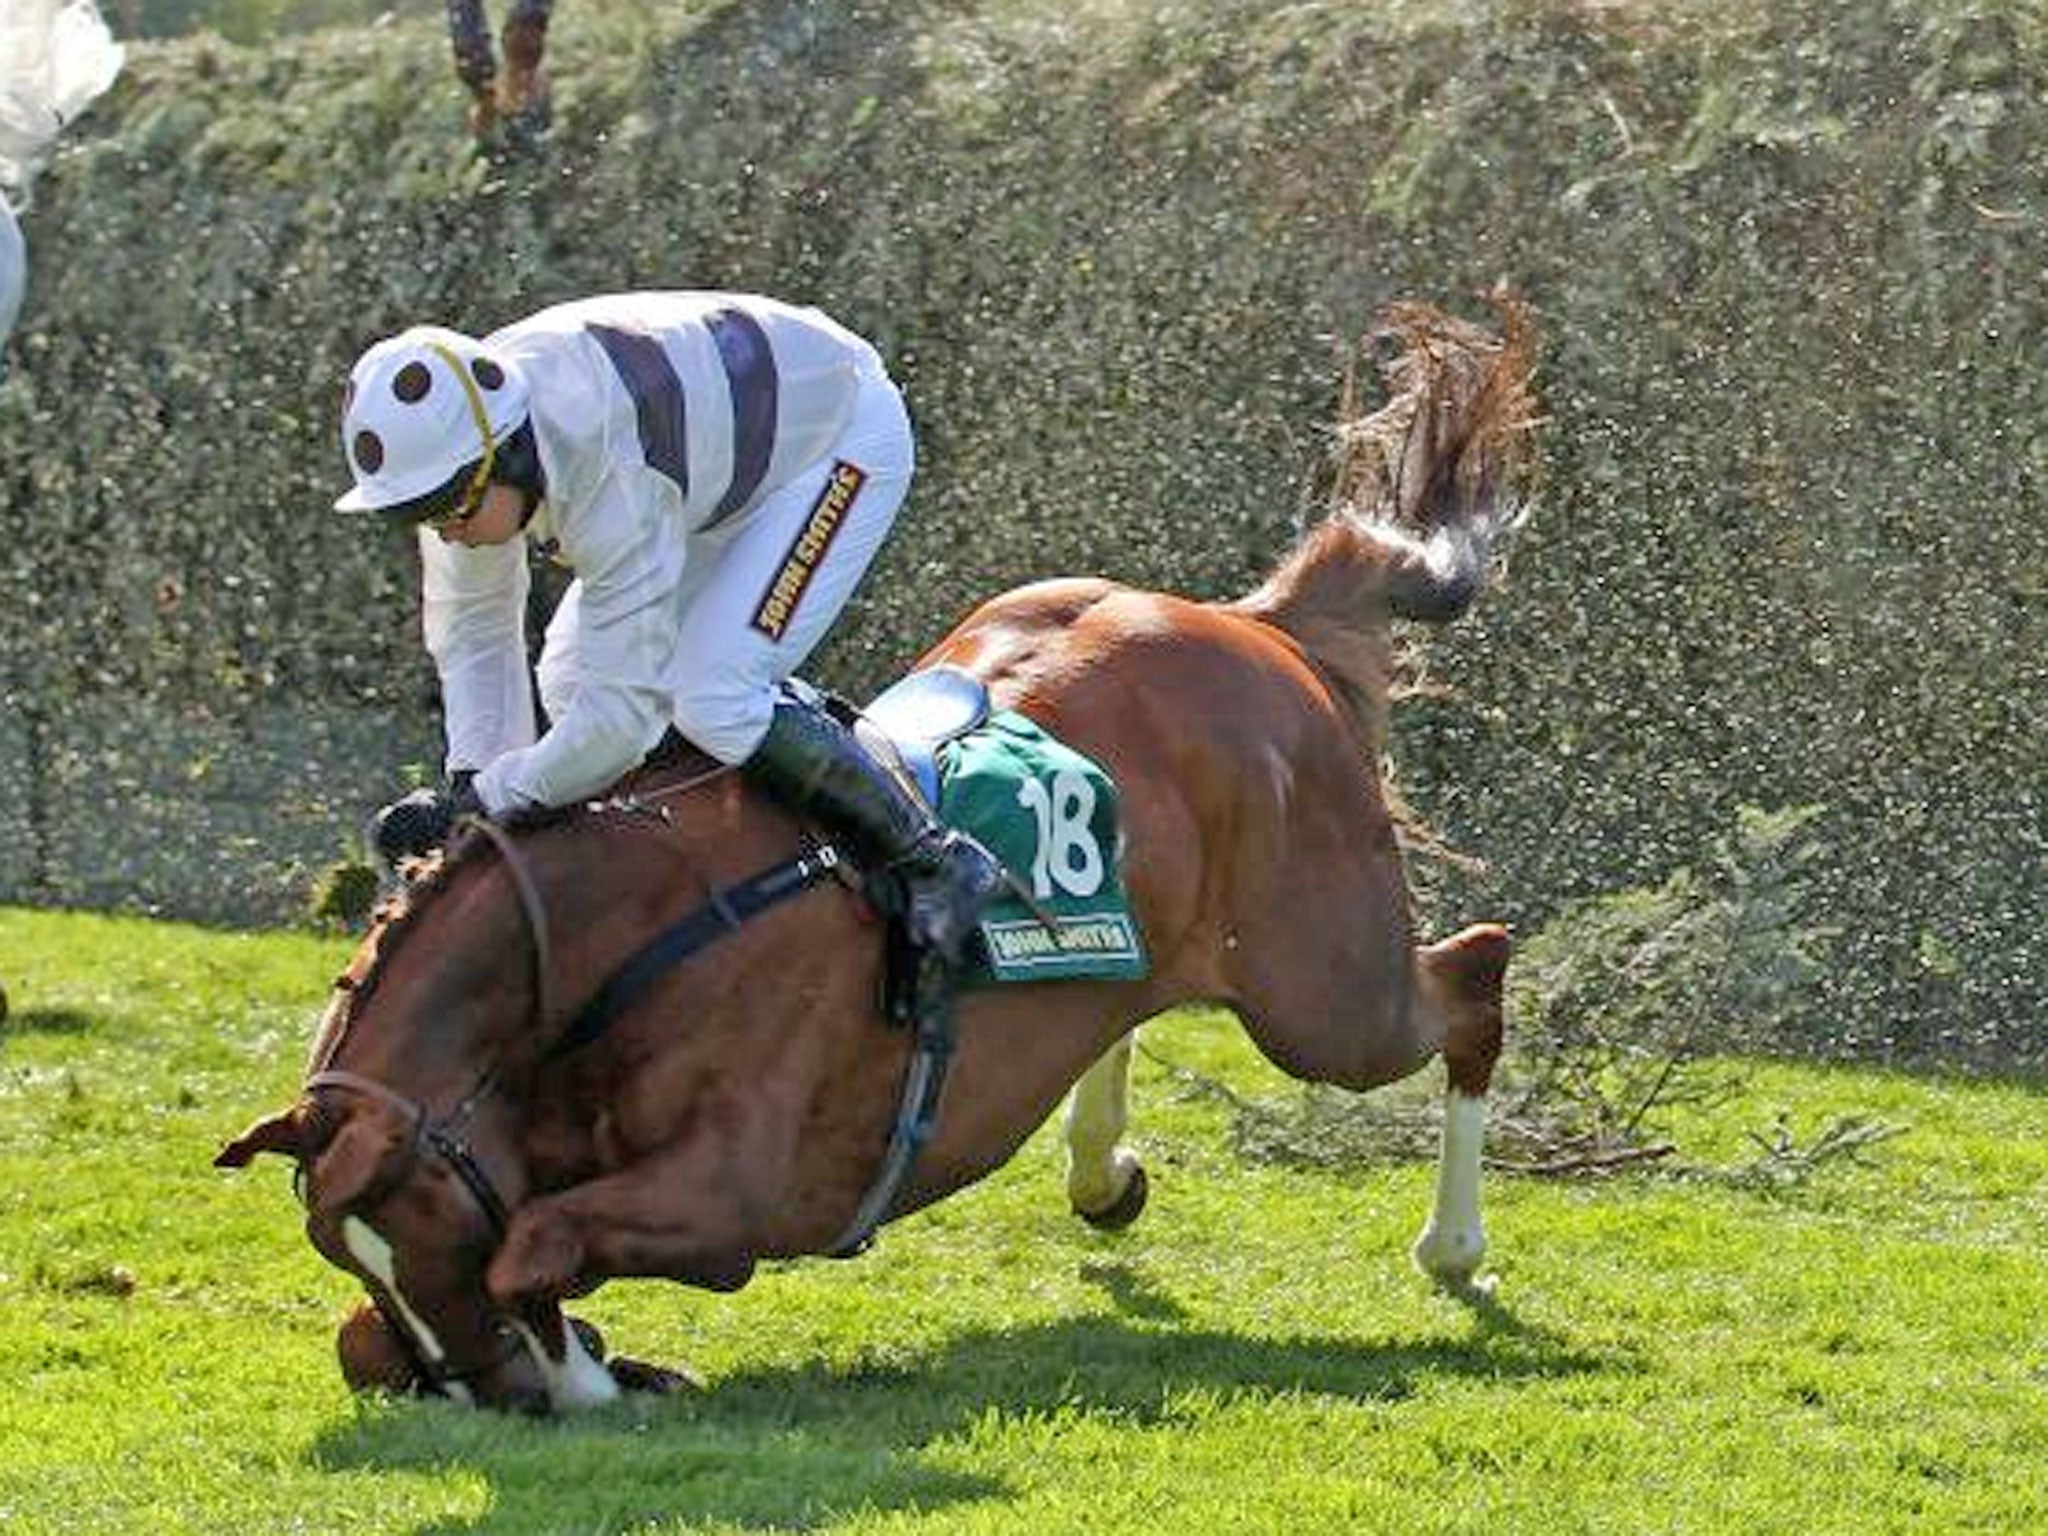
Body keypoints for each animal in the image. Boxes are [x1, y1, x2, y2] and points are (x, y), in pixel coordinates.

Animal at [220, 294, 1540, 1417]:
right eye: (347, 1251)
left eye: (426, 1219)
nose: (485, 1395)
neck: (605, 947)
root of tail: (1260, 627)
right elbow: (377, 1332)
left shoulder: (738, 1189)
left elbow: (533, 1246)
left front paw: (592, 1367)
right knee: (1131, 1006)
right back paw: (1100, 1169)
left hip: (1323, 993)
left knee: (1471, 976)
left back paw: (1452, 1247)